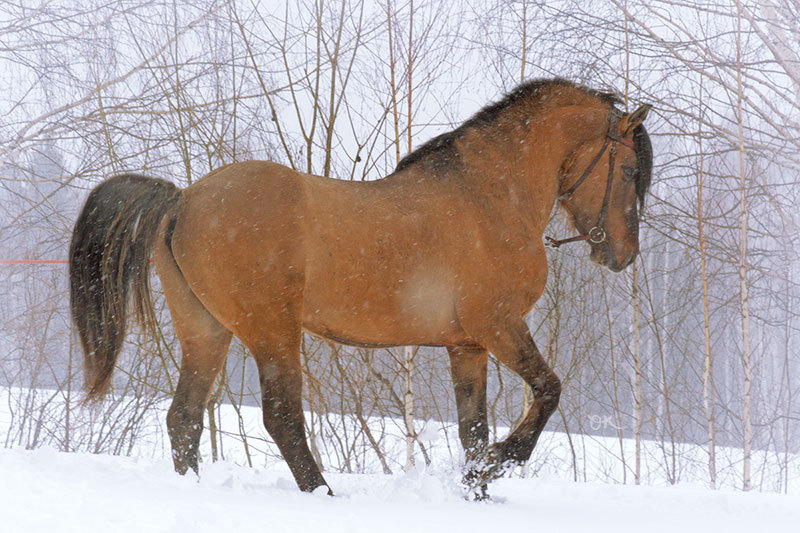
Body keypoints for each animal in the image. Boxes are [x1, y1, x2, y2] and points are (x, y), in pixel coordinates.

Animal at [70, 77, 648, 496]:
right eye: (630, 170)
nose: (621, 255)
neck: (490, 194)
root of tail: (182, 201)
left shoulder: (468, 345)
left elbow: (474, 431)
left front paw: (477, 487)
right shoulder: (499, 326)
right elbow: (548, 391)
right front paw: (500, 465)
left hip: (206, 331)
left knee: (184, 419)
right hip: (271, 331)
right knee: (281, 417)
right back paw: (321, 494)